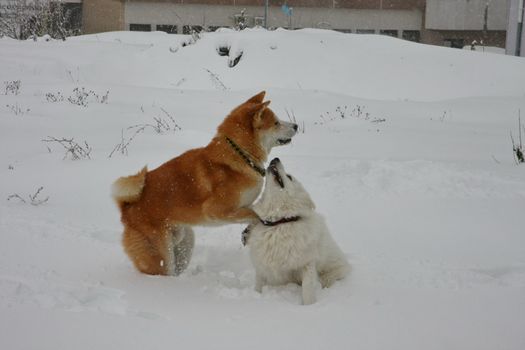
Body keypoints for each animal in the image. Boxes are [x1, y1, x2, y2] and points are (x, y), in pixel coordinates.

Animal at [112, 92, 296, 276]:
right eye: (276, 123)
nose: (296, 125)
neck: (239, 156)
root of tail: (126, 208)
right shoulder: (217, 210)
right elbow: (254, 214)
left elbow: (253, 215)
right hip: (161, 256)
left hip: (184, 243)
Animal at [244, 157, 350, 304]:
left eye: (289, 177)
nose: (275, 158)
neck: (279, 222)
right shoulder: (261, 268)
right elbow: (258, 287)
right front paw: (256, 297)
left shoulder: (307, 265)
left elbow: (308, 292)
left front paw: (309, 306)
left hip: (330, 275)